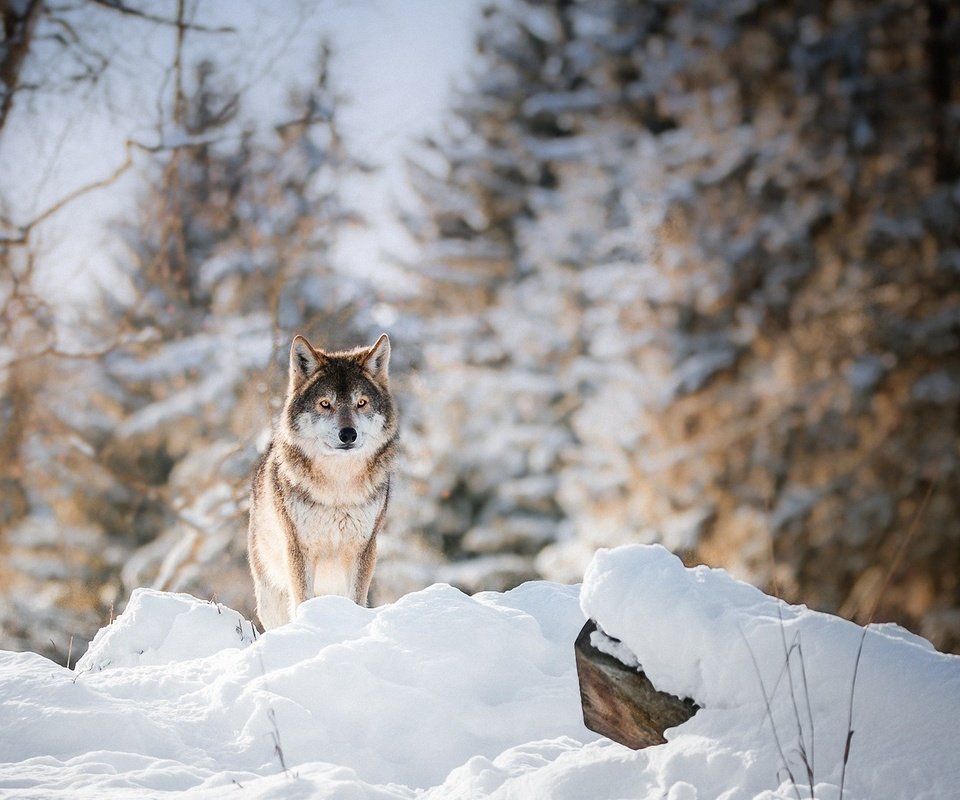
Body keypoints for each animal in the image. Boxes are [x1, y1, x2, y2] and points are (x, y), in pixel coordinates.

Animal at [249, 332, 400, 632]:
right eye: (325, 404)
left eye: (361, 403)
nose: (348, 434)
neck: (337, 488)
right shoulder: (299, 549)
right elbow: (302, 600)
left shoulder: (363, 548)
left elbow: (356, 599)